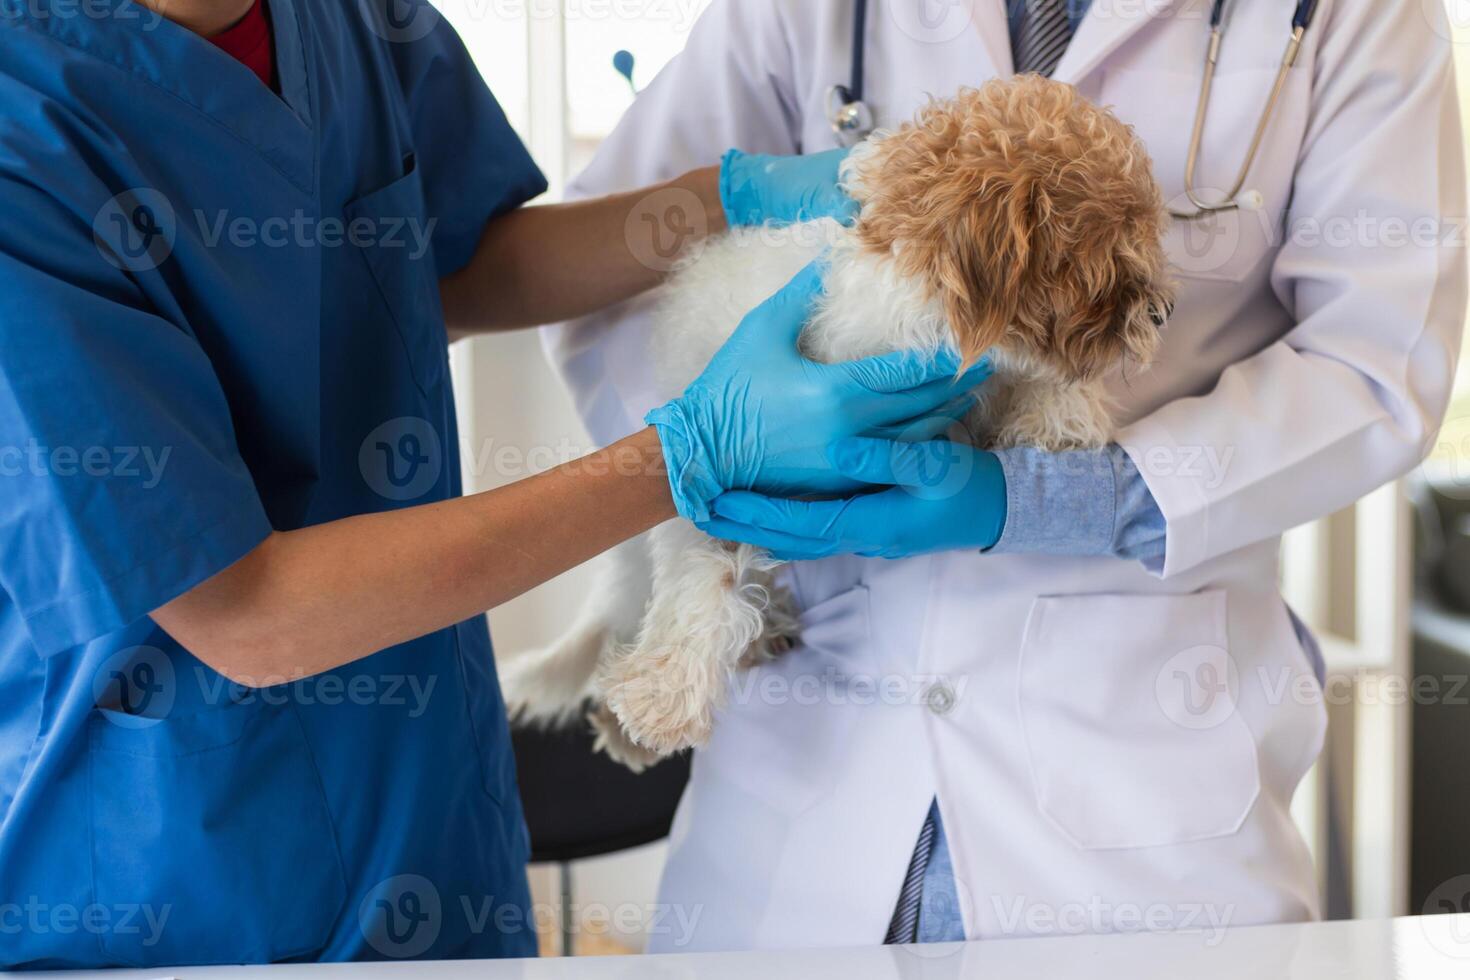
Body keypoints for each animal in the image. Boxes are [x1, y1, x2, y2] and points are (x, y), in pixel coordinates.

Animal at [505, 76, 1170, 769]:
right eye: (1110, 258)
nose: (1164, 313)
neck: (905, 330)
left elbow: (1029, 379)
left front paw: (1060, 417)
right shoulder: (701, 479)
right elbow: (705, 576)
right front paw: (665, 698)